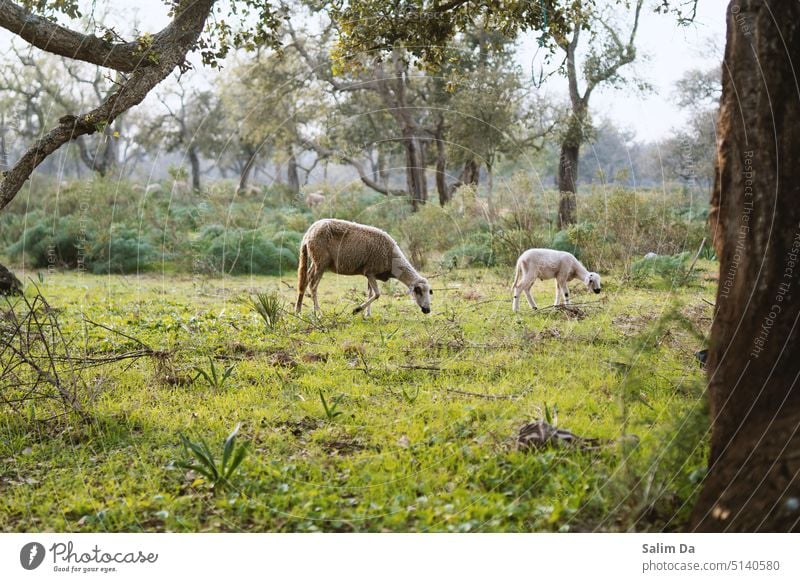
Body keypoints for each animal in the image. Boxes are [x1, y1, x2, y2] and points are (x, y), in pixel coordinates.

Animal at [294, 220, 432, 320]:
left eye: (430, 292)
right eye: (418, 291)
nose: (427, 310)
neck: (392, 260)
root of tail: (309, 233)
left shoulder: (370, 274)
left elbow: (370, 293)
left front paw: (367, 314)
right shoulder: (370, 272)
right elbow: (377, 294)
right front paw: (356, 310)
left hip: (315, 261)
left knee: (305, 281)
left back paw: (298, 311)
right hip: (321, 261)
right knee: (313, 285)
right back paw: (318, 312)